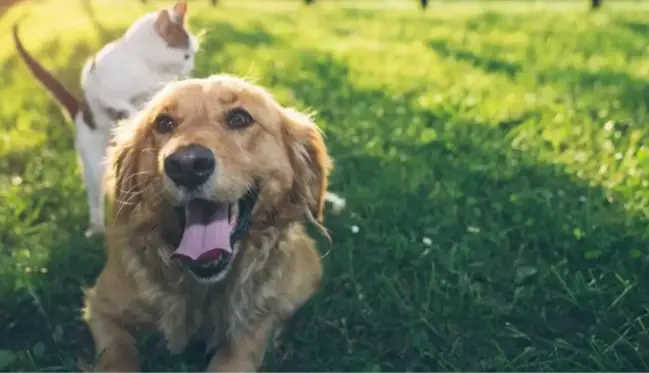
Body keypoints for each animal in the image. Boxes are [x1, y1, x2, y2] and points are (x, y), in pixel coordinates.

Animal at [13, 0, 197, 234]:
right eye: (186, 56)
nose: (191, 67)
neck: (146, 67)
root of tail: (79, 111)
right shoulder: (98, 83)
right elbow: (120, 102)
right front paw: (132, 115)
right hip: (93, 163)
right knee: (95, 196)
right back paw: (96, 228)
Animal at [81, 73, 332, 372]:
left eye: (239, 118)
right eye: (164, 123)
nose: (186, 165)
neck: (201, 289)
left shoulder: (258, 319)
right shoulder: (101, 306)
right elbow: (118, 355)